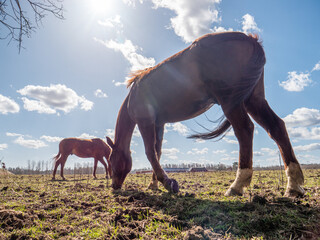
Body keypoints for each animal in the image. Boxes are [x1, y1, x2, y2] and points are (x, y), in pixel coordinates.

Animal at [105, 31, 304, 197]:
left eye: (111, 159)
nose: (114, 186)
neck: (135, 94)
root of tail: (250, 39)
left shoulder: (145, 121)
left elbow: (150, 152)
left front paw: (168, 183)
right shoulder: (159, 123)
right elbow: (158, 151)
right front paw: (154, 184)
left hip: (231, 103)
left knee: (245, 130)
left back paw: (237, 185)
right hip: (253, 101)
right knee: (276, 127)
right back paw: (293, 186)